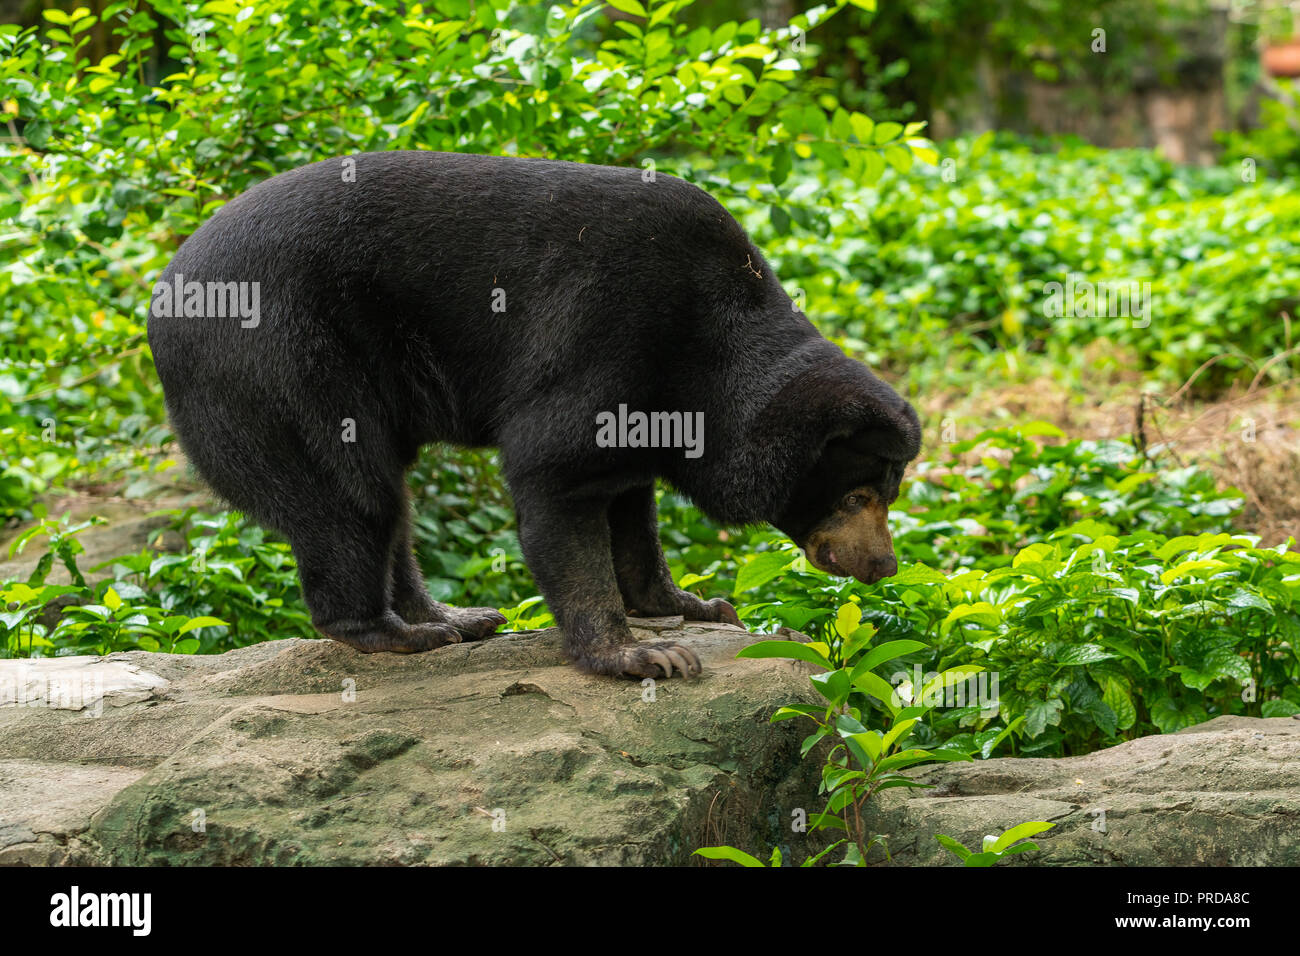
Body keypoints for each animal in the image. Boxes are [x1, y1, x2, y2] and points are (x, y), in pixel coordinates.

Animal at [149, 153, 925, 681]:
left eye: (886, 496)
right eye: (856, 496)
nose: (883, 565)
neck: (715, 354)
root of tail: (162, 300)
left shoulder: (653, 410)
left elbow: (631, 512)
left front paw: (694, 606)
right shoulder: (612, 341)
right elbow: (556, 477)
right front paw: (643, 656)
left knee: (387, 500)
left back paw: (454, 618)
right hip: (281, 363)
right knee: (353, 496)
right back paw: (395, 632)